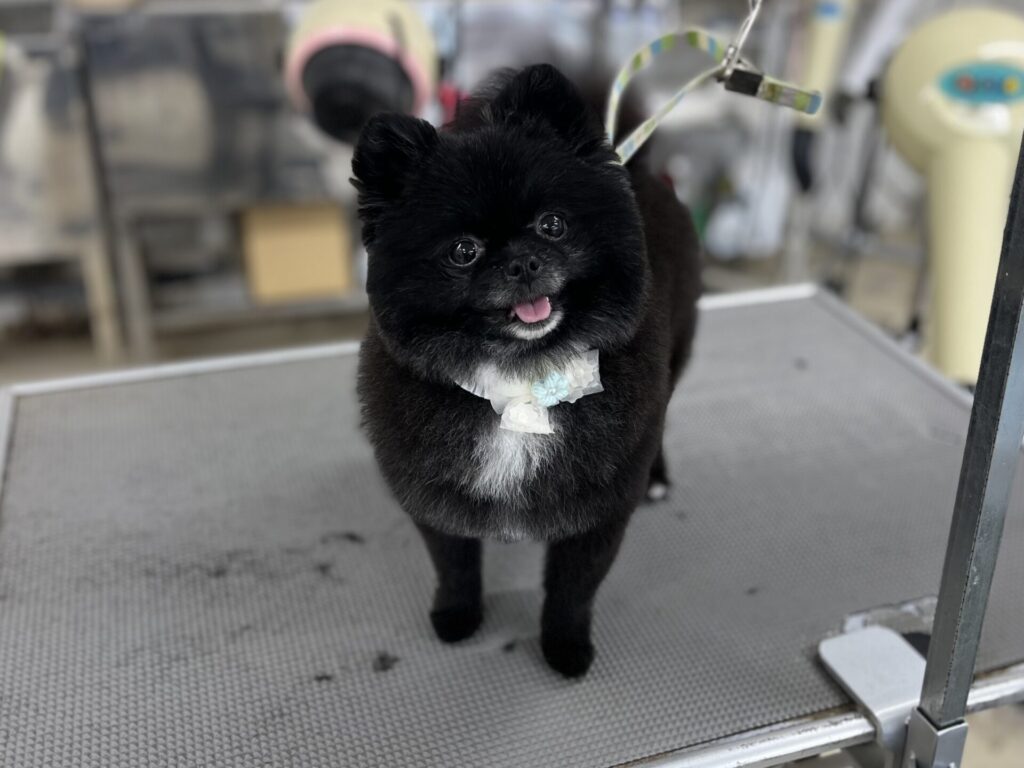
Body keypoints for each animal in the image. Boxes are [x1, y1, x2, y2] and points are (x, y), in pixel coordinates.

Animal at [352, 64, 701, 677]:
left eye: (553, 225)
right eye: (463, 251)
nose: (523, 261)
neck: (522, 378)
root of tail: (635, 165)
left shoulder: (597, 514)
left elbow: (572, 590)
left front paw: (565, 646)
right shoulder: (436, 500)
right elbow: (455, 568)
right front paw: (457, 616)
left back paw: (657, 477)